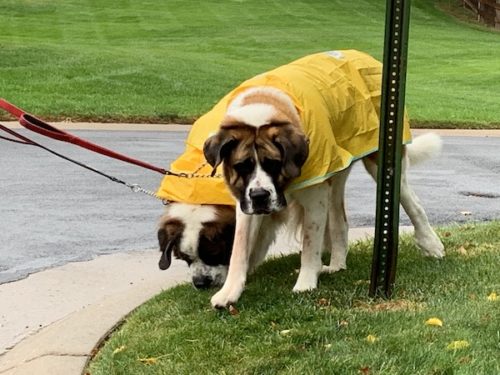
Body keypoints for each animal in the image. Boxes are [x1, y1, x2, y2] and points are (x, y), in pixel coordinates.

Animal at [201, 86, 444, 310]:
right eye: (242, 166)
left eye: (273, 164)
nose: (260, 196)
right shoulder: (246, 203)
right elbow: (239, 247)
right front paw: (229, 291)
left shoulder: (314, 196)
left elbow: (310, 243)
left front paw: (306, 283)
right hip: (335, 175)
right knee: (340, 222)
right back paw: (336, 265)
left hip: (381, 164)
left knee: (414, 204)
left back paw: (431, 244)